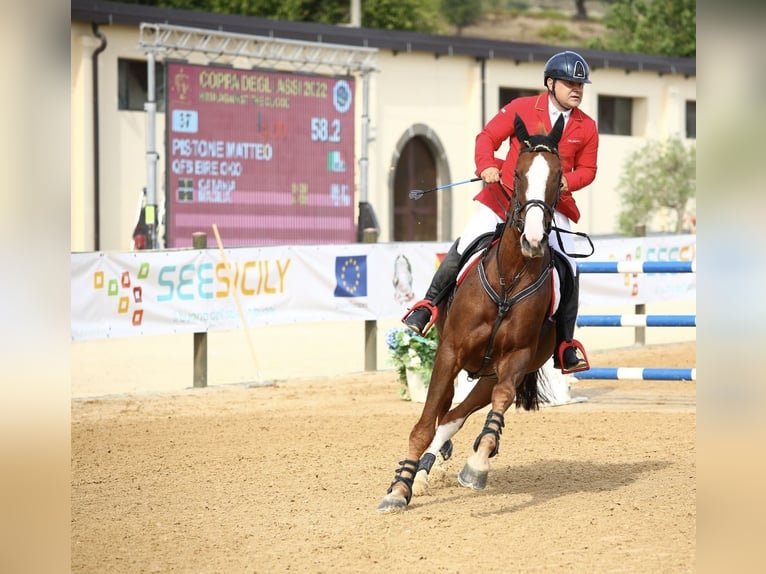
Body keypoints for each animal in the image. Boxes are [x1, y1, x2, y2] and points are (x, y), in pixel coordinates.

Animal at [380, 112, 568, 512]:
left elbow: (498, 406)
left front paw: (478, 464)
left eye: (558, 176)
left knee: (454, 416)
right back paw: (419, 473)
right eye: (518, 175)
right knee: (443, 412)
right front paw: (398, 489)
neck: (510, 277)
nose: (532, 240)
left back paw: (431, 468)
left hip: (487, 374)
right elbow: (423, 425)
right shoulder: (449, 352)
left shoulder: (516, 359)